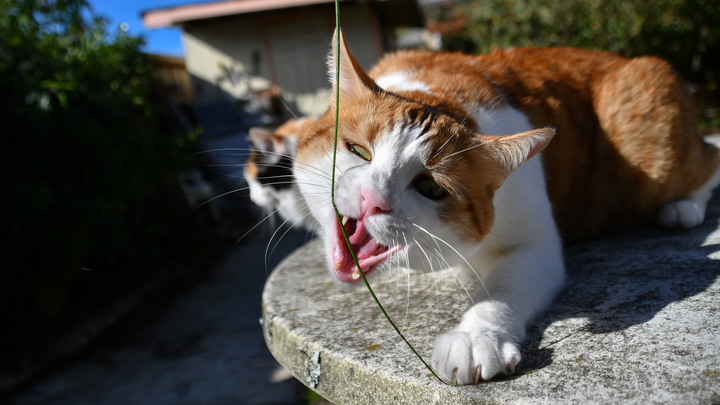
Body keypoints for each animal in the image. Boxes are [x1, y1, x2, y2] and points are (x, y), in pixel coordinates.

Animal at [292, 30, 720, 382]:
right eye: (358, 150)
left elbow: (504, 288)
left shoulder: (535, 243)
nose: (373, 200)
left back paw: (684, 207)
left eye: (430, 187)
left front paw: (475, 335)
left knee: (708, 159)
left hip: (648, 138)